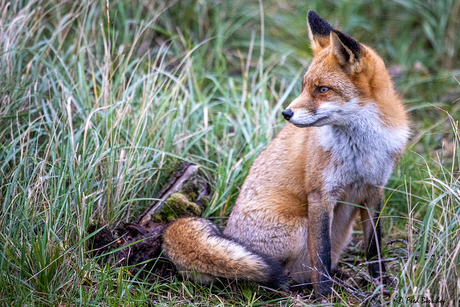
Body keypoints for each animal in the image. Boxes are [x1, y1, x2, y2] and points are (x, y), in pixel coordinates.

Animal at [160, 10, 408, 300]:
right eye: (304, 86)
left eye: (322, 89)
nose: (286, 113)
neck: (361, 151)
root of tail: (230, 232)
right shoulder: (320, 195)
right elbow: (321, 257)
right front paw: (324, 298)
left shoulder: (374, 190)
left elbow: (374, 249)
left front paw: (381, 287)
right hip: (299, 225)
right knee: (258, 276)